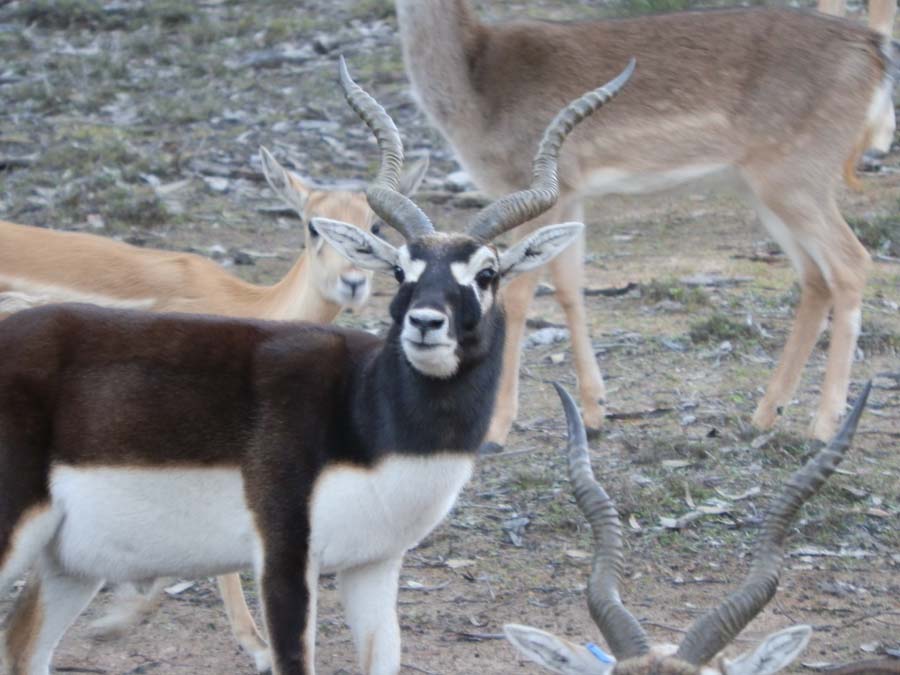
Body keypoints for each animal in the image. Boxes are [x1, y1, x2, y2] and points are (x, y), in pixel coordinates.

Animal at [396, 0, 898, 448]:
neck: (474, 91)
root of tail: (874, 53)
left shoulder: (535, 182)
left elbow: (518, 296)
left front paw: (495, 431)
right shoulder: (571, 193)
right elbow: (571, 287)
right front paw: (595, 411)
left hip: (797, 176)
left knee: (851, 262)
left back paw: (823, 425)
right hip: (768, 190)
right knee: (816, 278)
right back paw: (764, 414)